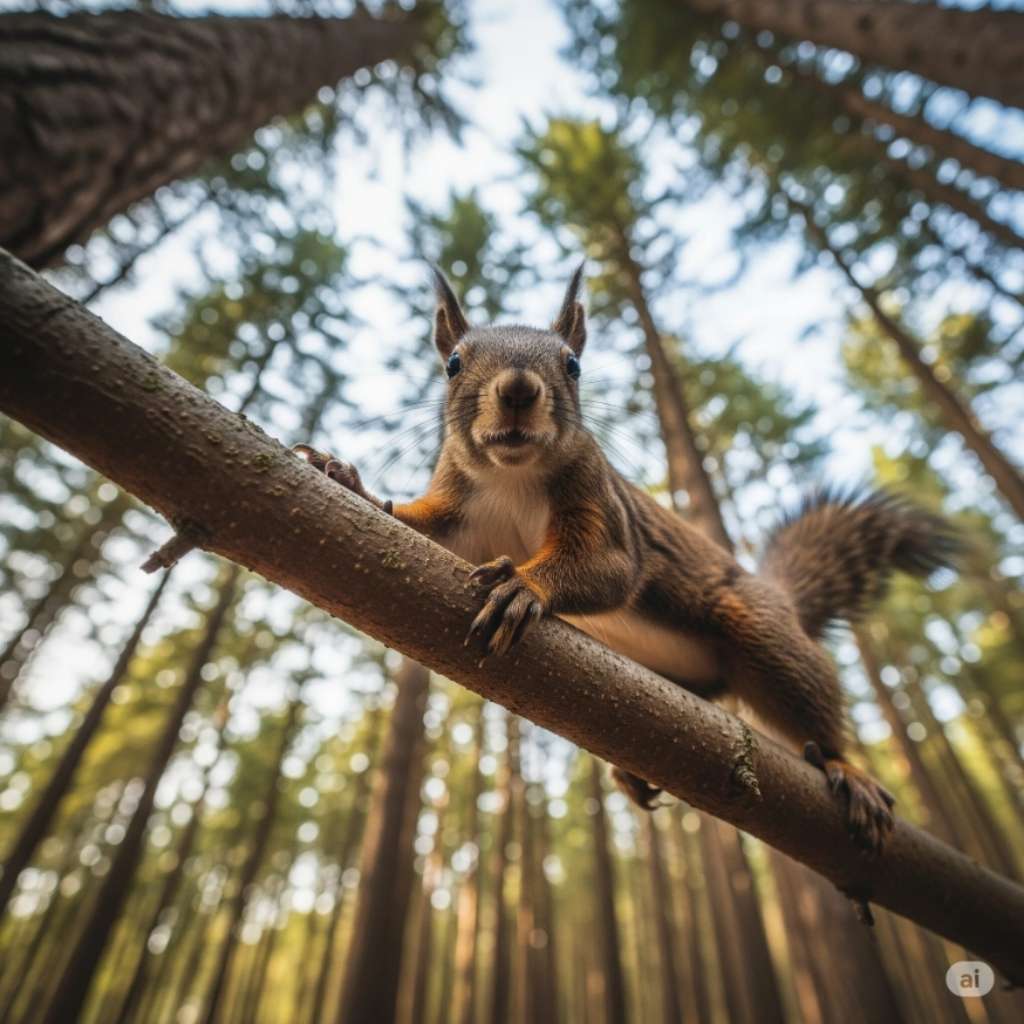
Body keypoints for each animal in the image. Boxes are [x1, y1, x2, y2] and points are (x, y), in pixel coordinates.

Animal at [296, 265, 959, 853]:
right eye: (453, 362)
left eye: (573, 364)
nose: (517, 390)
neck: (513, 477)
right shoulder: (460, 518)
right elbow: (418, 528)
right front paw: (350, 482)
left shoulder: (602, 508)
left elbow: (611, 570)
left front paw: (526, 588)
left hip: (762, 629)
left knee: (810, 699)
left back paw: (851, 771)